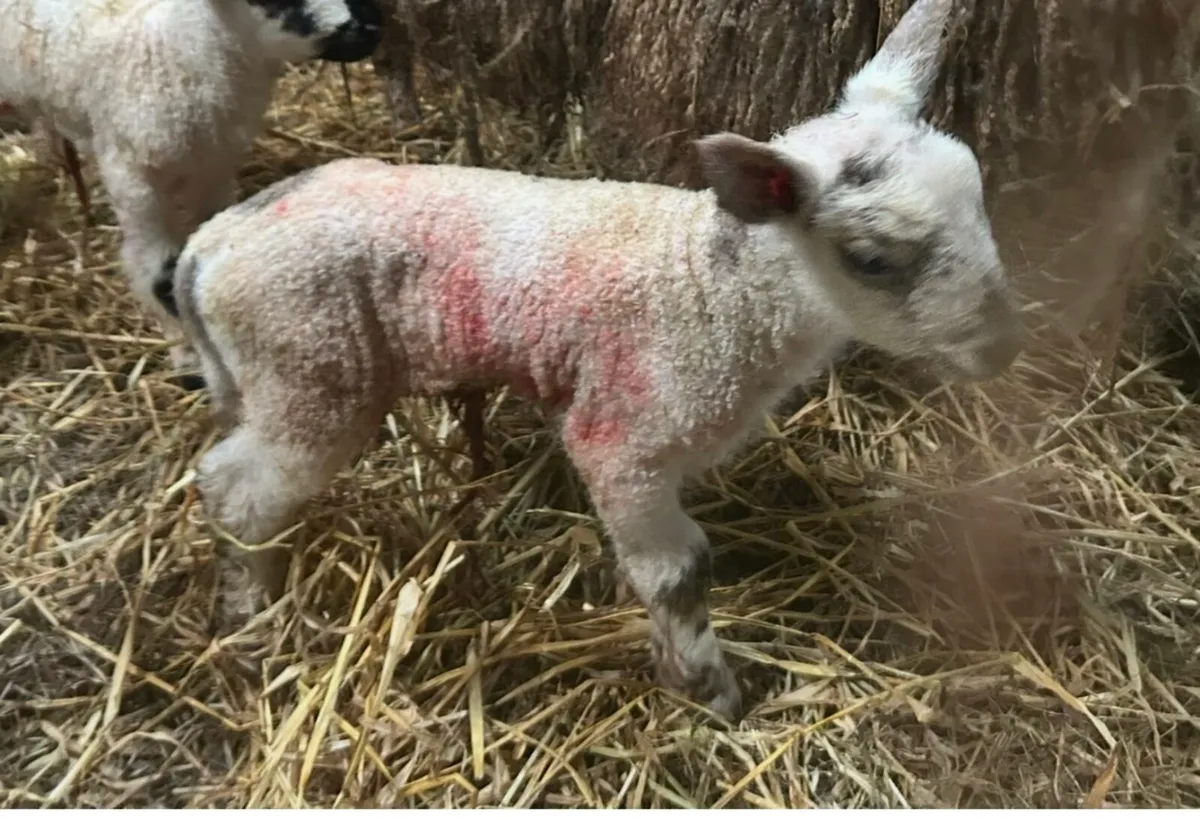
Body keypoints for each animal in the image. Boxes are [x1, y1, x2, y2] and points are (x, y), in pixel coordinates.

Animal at [0, 0, 384, 378]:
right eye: (273, 1)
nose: (369, 28)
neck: (171, 50)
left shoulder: (214, 169)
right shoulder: (133, 180)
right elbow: (155, 273)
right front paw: (185, 358)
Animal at [160, 0, 1023, 720]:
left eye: (979, 199)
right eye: (872, 259)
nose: (1001, 346)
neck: (710, 286)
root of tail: (211, 246)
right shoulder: (620, 440)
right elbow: (679, 571)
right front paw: (710, 693)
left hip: (266, 373)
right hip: (312, 368)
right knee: (237, 488)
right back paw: (251, 618)